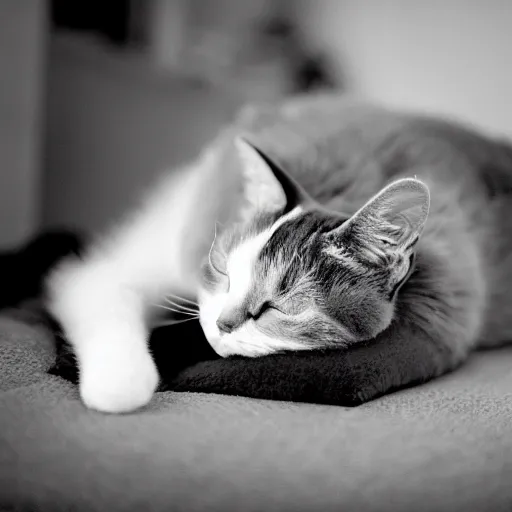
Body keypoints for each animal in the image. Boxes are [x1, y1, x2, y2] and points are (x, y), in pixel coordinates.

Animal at [45, 93, 512, 412]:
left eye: (279, 308)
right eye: (222, 270)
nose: (222, 323)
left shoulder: (439, 318)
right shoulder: (115, 269)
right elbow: (100, 295)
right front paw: (118, 380)